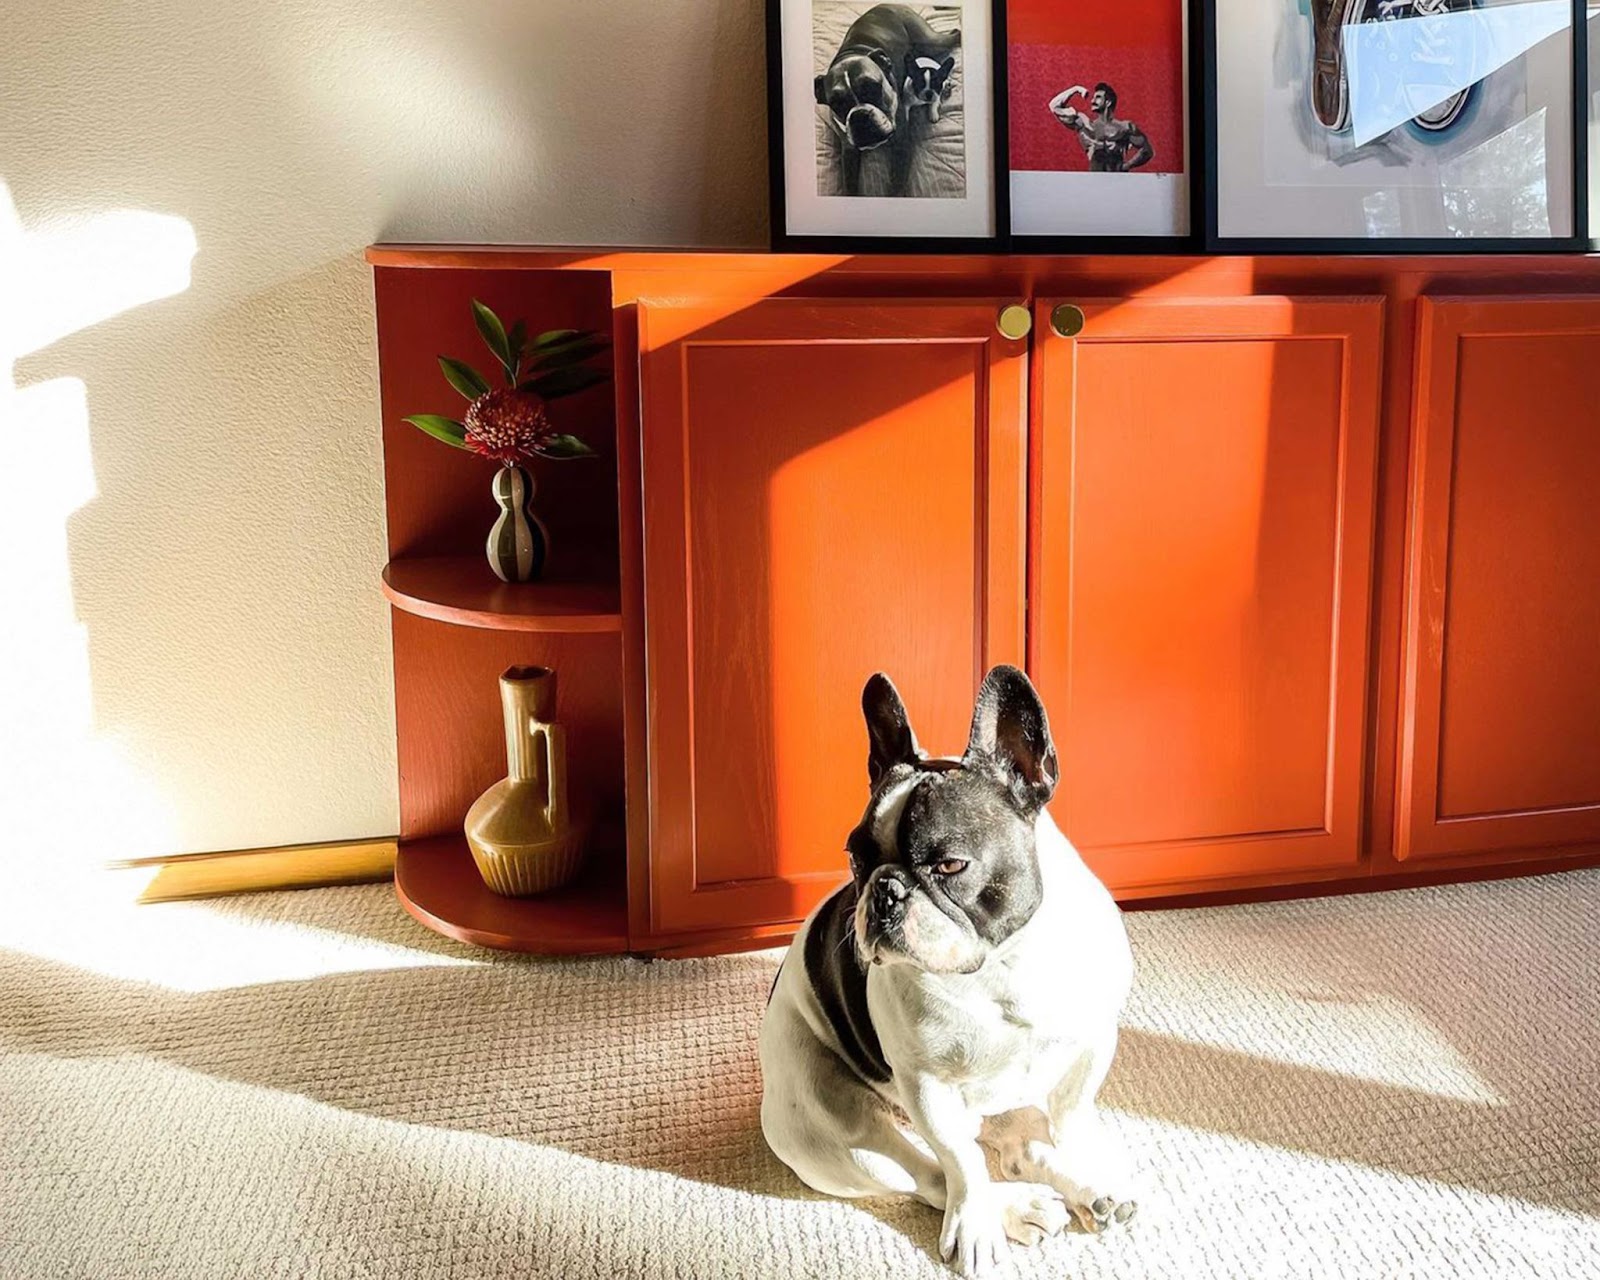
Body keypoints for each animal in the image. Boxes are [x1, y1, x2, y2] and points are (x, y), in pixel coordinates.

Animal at [761, 665, 1139, 1273]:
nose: (884, 891)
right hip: (833, 1136)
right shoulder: (928, 1088)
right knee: (929, 1174)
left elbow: (1071, 1112)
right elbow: (960, 1163)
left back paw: (1083, 1188)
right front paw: (979, 1227)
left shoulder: (1093, 1041)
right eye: (855, 858)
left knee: (1018, 1145)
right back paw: (1017, 1209)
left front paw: (1087, 1164)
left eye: (950, 865)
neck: (1005, 964)